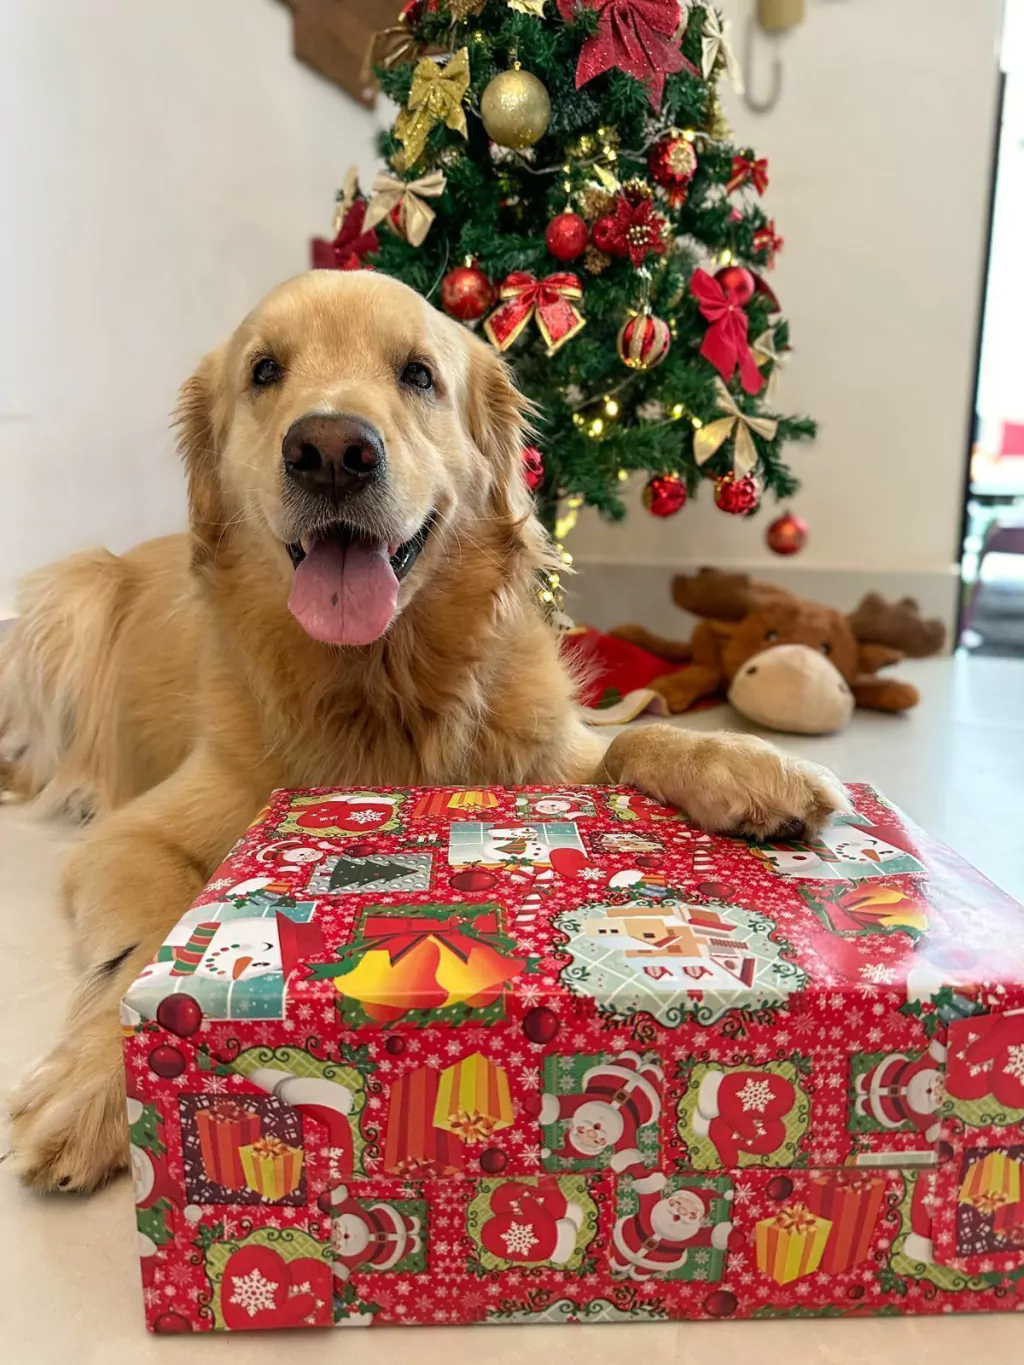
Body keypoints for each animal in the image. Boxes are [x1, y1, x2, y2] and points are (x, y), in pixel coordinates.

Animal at [0, 271, 846, 1191]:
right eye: (264, 370)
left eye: (418, 374)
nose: (332, 450)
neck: (384, 681)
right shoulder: (134, 835)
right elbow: (152, 935)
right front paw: (94, 1080)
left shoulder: (546, 750)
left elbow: (631, 742)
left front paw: (744, 766)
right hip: (67, 596)